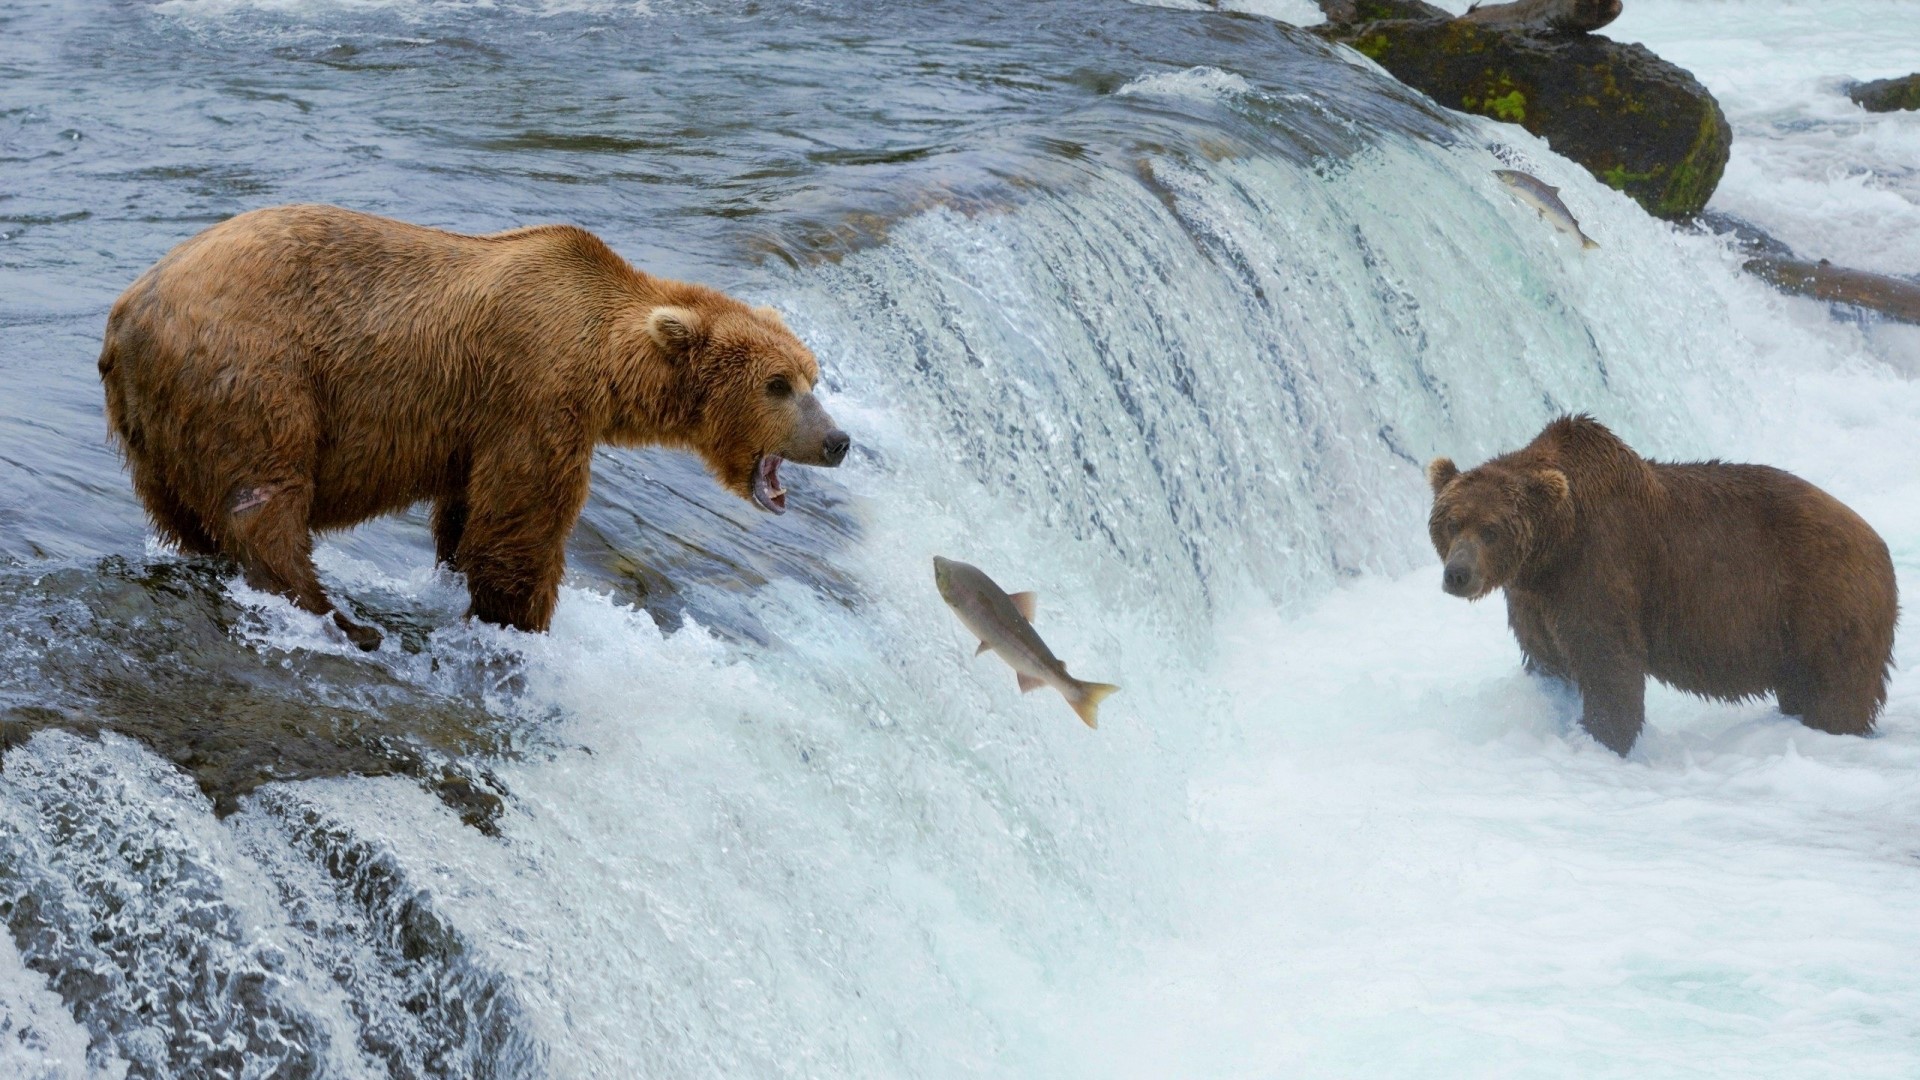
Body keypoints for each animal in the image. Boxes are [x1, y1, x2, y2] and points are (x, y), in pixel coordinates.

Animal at [98, 204, 850, 650]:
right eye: (777, 384)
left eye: (813, 376)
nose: (838, 441)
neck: (606, 363)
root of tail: (128, 310)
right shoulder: (535, 394)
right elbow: (522, 523)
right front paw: (521, 617)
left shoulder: (479, 424)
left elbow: (467, 516)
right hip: (254, 374)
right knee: (265, 500)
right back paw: (338, 617)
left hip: (153, 425)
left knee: (184, 512)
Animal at [1426, 415, 1897, 755]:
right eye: (1452, 522)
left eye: (1490, 530)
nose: (1458, 574)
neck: (1552, 549)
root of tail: (1877, 543)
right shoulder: (1533, 596)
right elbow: (1546, 656)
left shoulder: (1600, 566)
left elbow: (1609, 663)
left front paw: (1603, 739)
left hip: (1826, 604)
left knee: (1837, 692)